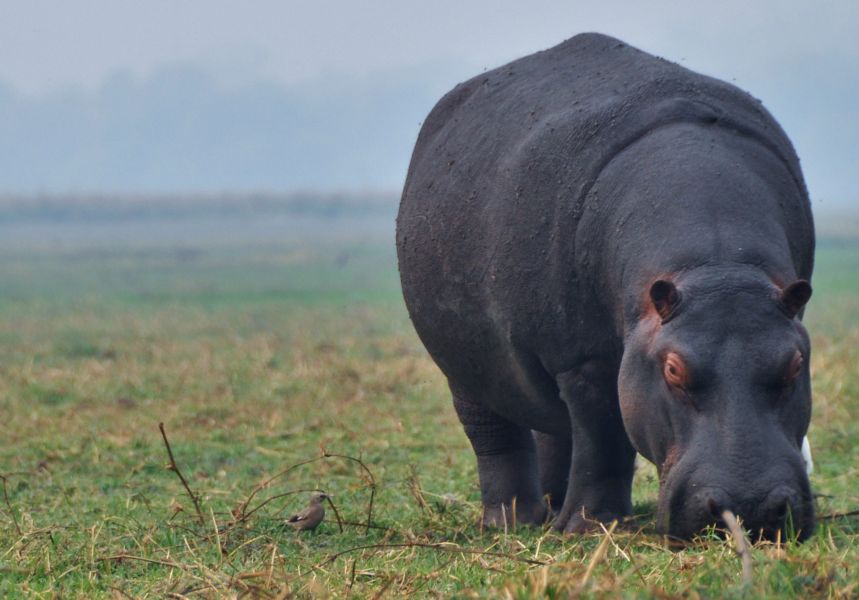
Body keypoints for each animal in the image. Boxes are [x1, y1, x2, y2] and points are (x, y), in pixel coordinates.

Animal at [396, 33, 815, 540]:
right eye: (673, 370)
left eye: (796, 365)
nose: (749, 508)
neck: (717, 266)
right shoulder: (585, 361)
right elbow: (604, 440)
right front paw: (591, 528)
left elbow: (590, 439)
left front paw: (580, 524)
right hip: (465, 363)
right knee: (496, 434)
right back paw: (513, 522)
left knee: (555, 429)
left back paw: (552, 508)